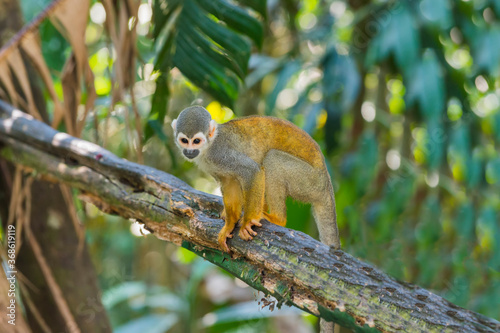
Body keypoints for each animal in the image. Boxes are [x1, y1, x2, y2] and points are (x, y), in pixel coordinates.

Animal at [172, 105, 340, 252]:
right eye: (184, 141)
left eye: (196, 141)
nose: (189, 151)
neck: (207, 147)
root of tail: (327, 183)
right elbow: (229, 182)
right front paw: (229, 225)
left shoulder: (220, 153)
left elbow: (252, 171)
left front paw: (247, 223)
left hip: (309, 181)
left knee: (272, 159)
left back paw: (278, 219)